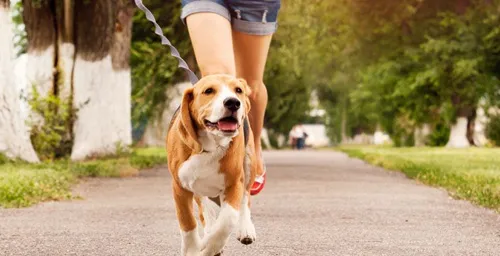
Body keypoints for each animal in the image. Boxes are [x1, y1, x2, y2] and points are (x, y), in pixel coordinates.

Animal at [167, 74, 258, 256]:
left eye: (238, 90)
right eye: (208, 91)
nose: (233, 102)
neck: (210, 146)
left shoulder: (234, 183)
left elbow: (227, 220)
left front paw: (209, 246)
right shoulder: (179, 187)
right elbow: (188, 222)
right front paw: (192, 250)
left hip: (249, 163)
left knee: (245, 199)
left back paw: (245, 229)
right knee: (205, 210)